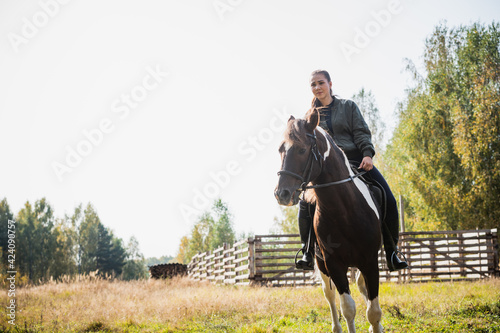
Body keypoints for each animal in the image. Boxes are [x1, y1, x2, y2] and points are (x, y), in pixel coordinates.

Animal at [274, 107, 382, 330]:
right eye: (281, 149)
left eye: (301, 150)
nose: (282, 194)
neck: (344, 211)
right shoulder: (334, 265)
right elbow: (348, 309)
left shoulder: (370, 261)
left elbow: (373, 312)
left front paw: (377, 326)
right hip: (322, 265)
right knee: (330, 295)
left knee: (361, 286)